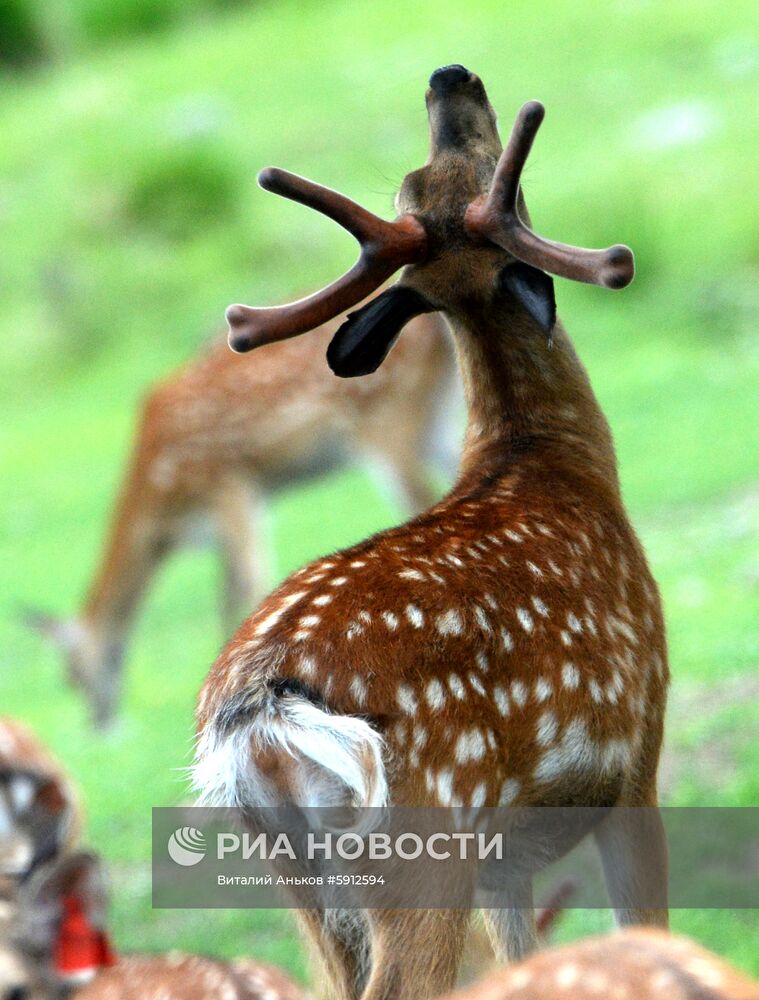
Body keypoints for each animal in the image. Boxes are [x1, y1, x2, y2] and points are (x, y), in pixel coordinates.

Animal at [28, 308, 458, 732]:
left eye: (72, 675)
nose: (100, 724)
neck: (164, 504)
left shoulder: (229, 483)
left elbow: (250, 580)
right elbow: (228, 592)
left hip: (385, 417)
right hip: (433, 421)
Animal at [196, 64, 672, 1000]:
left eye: (414, 184)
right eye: (507, 179)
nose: (452, 77)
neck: (551, 461)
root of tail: (258, 714)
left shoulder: (506, 863)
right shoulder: (638, 750)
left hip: (294, 878)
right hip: (422, 831)